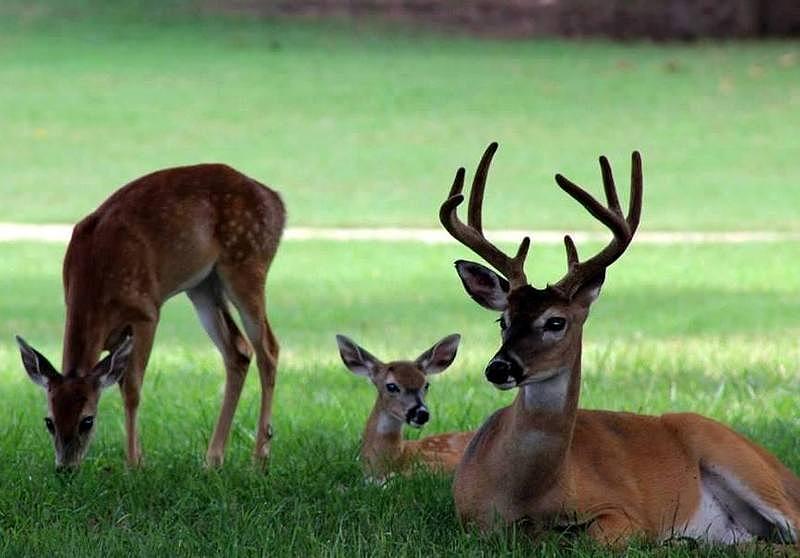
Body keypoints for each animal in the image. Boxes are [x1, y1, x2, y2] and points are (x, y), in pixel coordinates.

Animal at [14, 164, 284, 470]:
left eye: (87, 421)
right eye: (49, 421)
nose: (65, 468)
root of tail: (277, 201)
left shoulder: (145, 313)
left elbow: (132, 390)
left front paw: (134, 465)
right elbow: (120, 382)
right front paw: (140, 457)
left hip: (247, 263)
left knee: (268, 349)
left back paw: (259, 459)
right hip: (203, 286)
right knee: (238, 351)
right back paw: (213, 460)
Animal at [440, 142, 796, 548]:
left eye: (556, 322)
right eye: (503, 321)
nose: (499, 367)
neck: (522, 491)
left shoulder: (623, 511)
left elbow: (591, 535)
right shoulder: (470, 520)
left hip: (741, 460)